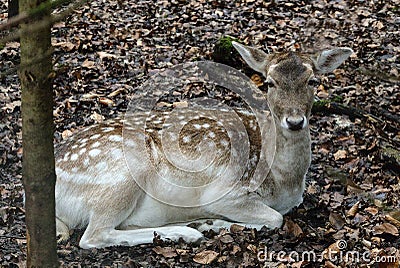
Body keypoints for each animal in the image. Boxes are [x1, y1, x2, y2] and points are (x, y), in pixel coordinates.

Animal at [54, 42, 352, 249]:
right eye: (269, 82)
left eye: (313, 80)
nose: (294, 121)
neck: (284, 181)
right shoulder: (226, 191)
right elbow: (274, 219)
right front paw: (220, 222)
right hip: (123, 173)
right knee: (93, 236)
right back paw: (189, 231)